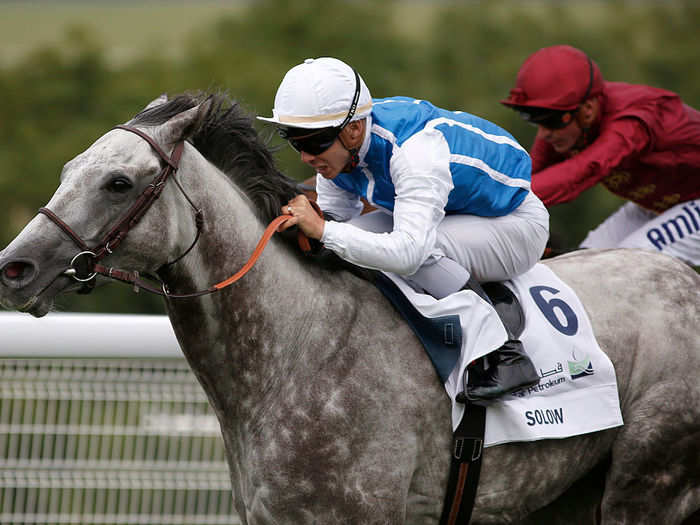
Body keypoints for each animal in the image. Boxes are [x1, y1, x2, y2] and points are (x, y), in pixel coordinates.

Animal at [1, 92, 700, 520]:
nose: (14, 268)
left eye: (118, 183)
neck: (298, 352)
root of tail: (684, 277)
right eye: (68, 169)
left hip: (647, 479)